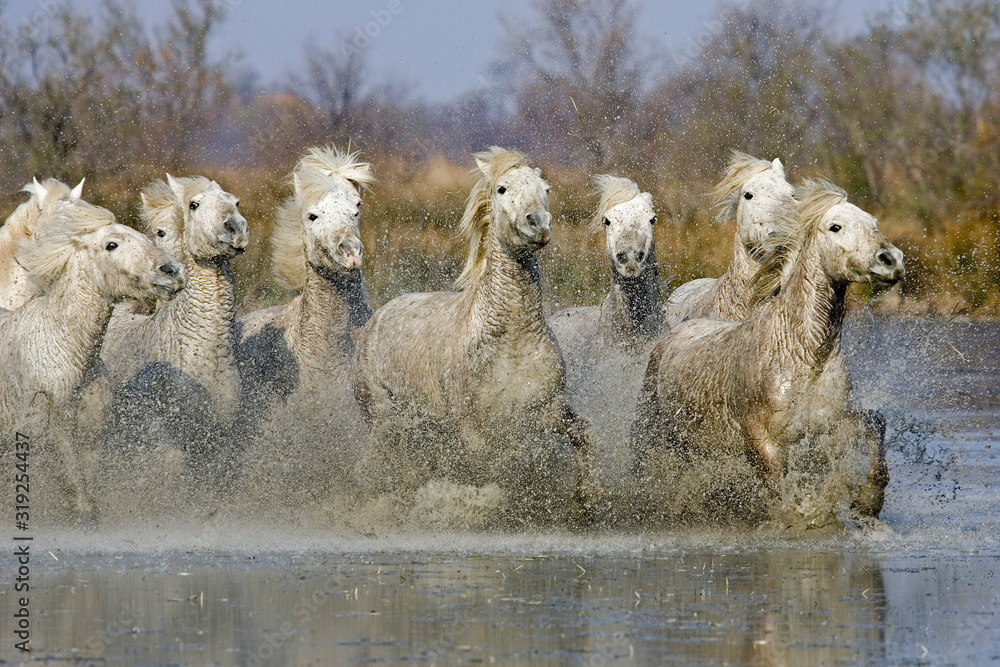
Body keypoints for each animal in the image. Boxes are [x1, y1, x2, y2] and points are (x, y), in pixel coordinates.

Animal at [0, 198, 183, 520]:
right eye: (112, 245)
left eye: (148, 237)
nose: (172, 271)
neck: (66, 353)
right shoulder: (49, 428)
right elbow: (73, 477)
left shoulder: (92, 431)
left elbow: (87, 477)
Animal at [356, 146, 596, 528]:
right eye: (501, 188)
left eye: (546, 188)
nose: (538, 223)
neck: (511, 340)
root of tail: (376, 318)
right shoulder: (471, 427)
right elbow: (490, 467)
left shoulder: (549, 409)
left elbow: (581, 434)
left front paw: (586, 498)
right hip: (384, 420)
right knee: (379, 465)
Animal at [632, 180, 908, 524]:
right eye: (835, 226)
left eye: (873, 222)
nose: (891, 260)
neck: (804, 356)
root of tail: (674, 333)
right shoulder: (761, 439)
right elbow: (776, 492)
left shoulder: (829, 424)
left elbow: (874, 425)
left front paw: (868, 502)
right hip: (651, 429)